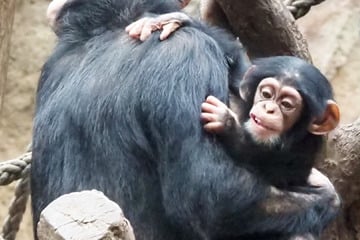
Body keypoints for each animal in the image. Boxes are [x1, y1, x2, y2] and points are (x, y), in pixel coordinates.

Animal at [32, 0, 338, 240]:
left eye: (285, 104)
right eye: (268, 95)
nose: (270, 109)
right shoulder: (191, 53)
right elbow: (208, 194)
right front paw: (327, 195)